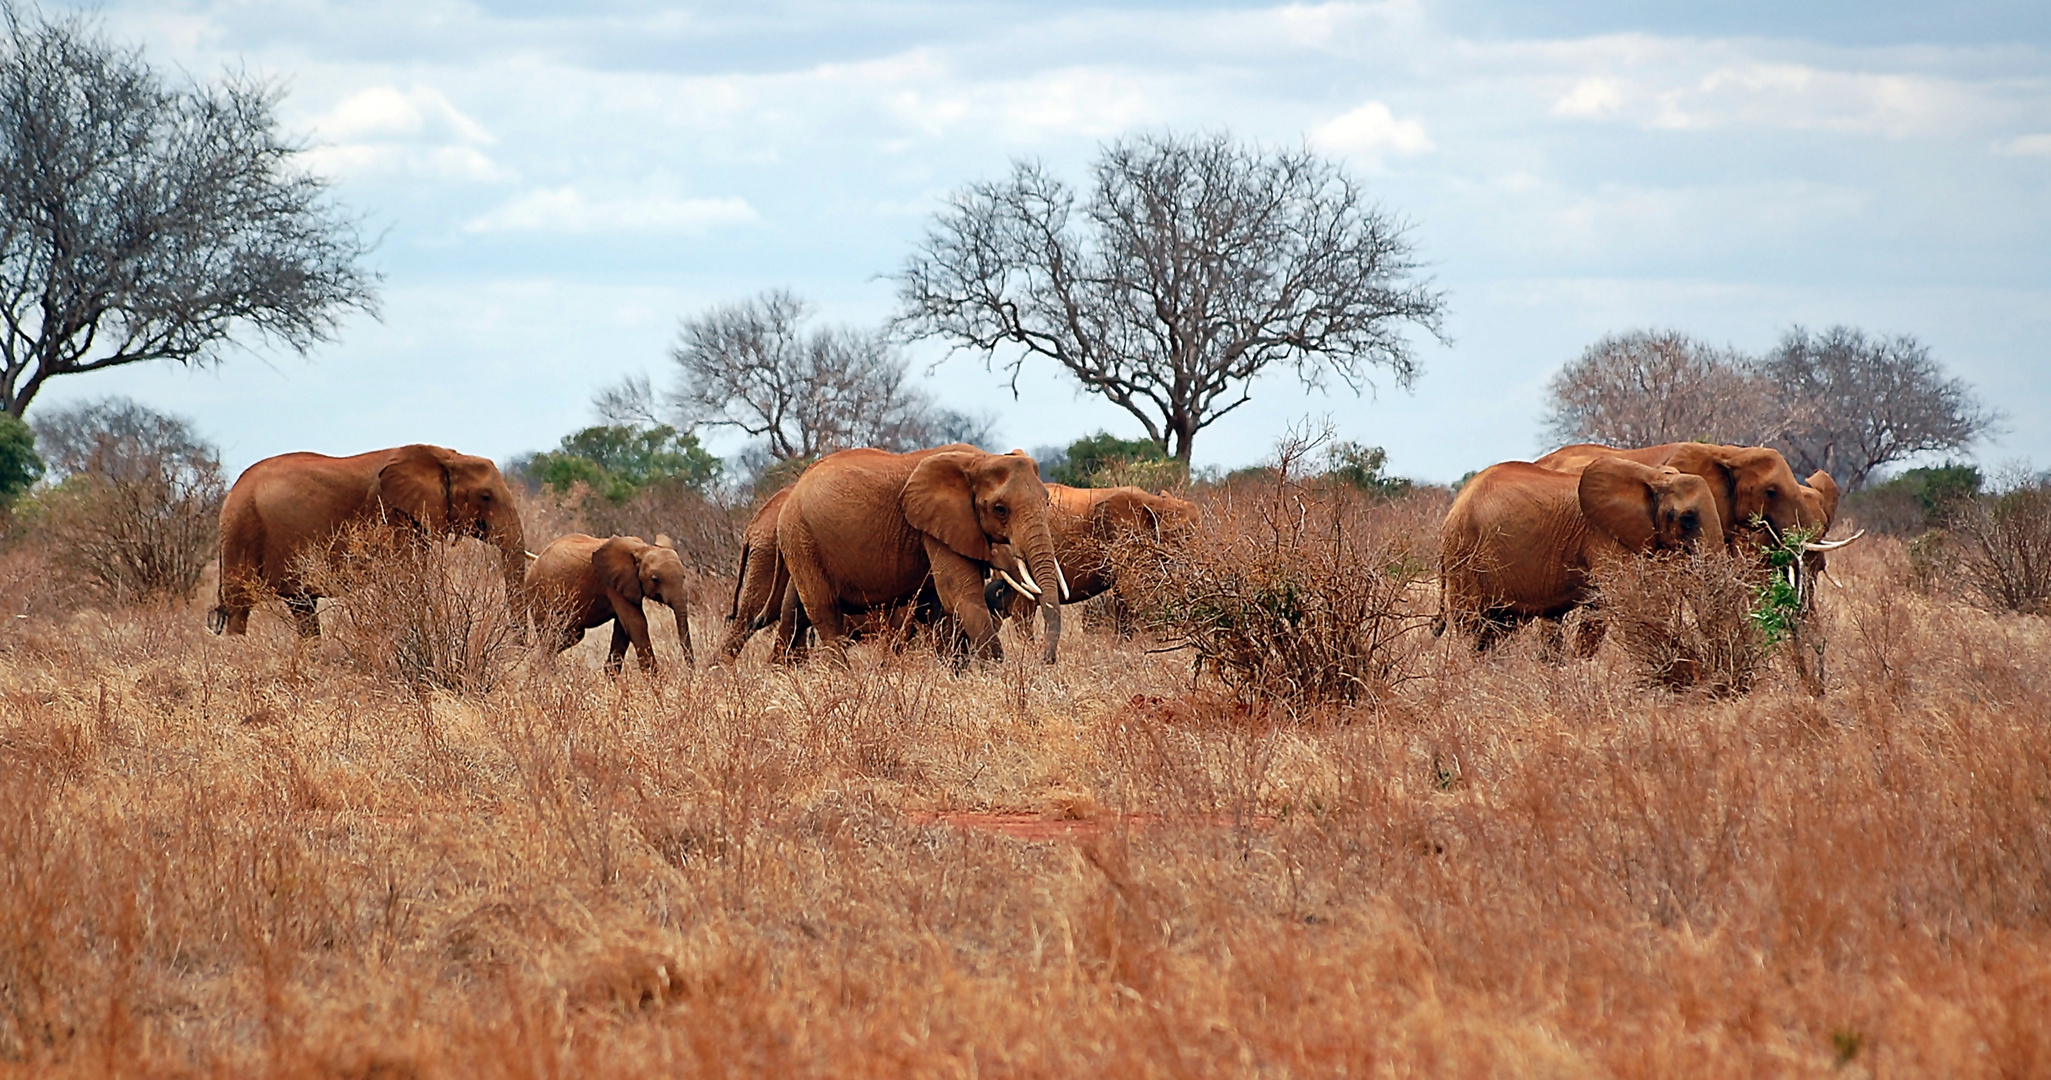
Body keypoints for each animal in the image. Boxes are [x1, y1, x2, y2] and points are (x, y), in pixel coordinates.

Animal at [209, 444, 525, 639]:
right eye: (485, 496)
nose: (521, 646)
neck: (446, 456)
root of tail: (232, 489)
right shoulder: (392, 515)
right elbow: (408, 578)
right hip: (242, 527)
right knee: (240, 604)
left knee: (302, 605)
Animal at [525, 532, 693, 676]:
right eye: (655, 579)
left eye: (684, 577)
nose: (691, 675)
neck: (642, 548)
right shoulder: (612, 584)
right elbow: (636, 623)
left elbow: (623, 628)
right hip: (538, 593)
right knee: (550, 634)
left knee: (572, 635)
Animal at [775, 444, 1066, 663]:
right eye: (1000, 510)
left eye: (1046, 502)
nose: (1046, 660)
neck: (981, 459)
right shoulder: (936, 523)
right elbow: (960, 595)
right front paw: (993, 673)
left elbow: (943, 605)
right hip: (800, 537)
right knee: (826, 613)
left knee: (798, 608)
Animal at [980, 483, 1197, 668]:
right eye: (1182, 534)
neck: (1156, 502)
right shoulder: (1123, 537)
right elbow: (1131, 591)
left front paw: (1122, 649)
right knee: (1022, 611)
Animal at [1443, 457, 1731, 651]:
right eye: (1688, 519)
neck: (1652, 477)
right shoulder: (1602, 534)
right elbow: (1629, 598)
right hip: (1465, 554)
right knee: (1474, 626)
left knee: (1499, 628)